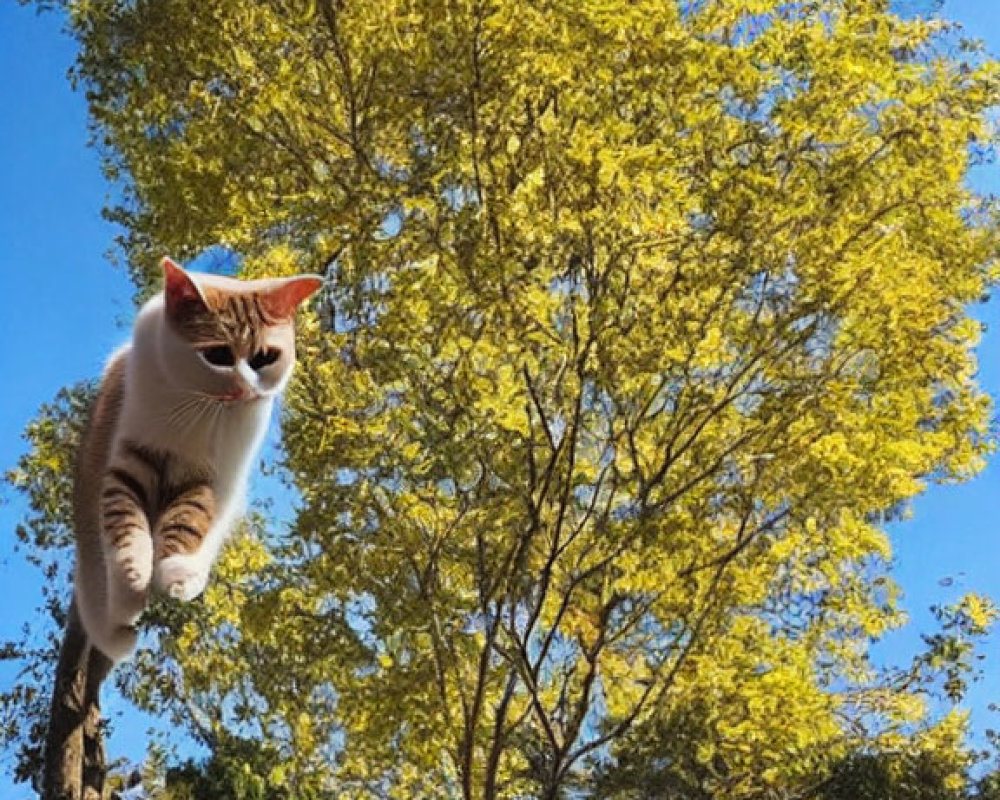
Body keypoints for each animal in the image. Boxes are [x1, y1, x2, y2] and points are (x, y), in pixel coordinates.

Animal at [75, 258, 324, 664]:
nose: (245, 388)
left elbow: (189, 519)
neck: (196, 407)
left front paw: (174, 572)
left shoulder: (206, 476)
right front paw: (132, 578)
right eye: (218, 355)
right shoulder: (131, 458)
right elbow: (124, 520)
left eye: (265, 358)